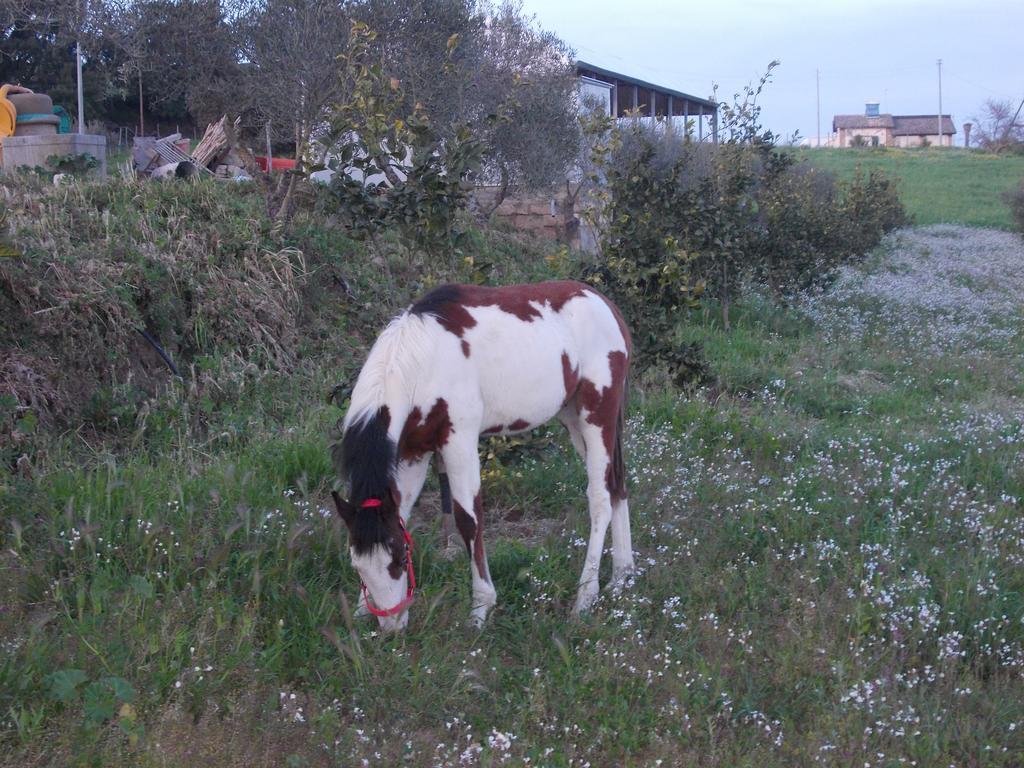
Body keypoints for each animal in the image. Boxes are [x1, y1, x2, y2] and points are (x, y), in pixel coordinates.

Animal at [329, 280, 630, 630]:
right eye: (358, 566)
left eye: (401, 557)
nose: (392, 628)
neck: (420, 359)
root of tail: (607, 306)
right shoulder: (413, 453)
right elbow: (401, 513)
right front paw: (361, 610)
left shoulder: (459, 440)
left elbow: (469, 519)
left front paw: (481, 608)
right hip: (573, 418)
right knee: (616, 485)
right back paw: (621, 577)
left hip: (598, 415)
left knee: (599, 497)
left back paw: (585, 597)